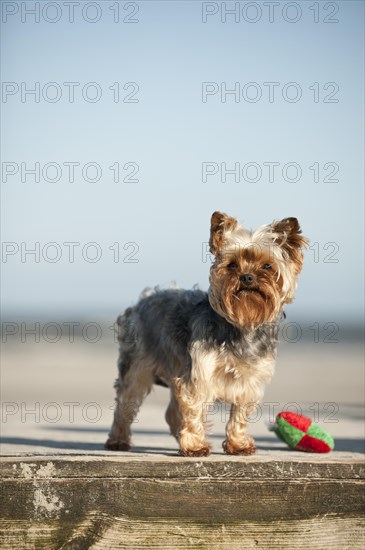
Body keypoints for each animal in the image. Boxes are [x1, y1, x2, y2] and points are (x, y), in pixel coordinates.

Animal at [105, 211, 308, 458]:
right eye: (232, 265)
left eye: (267, 266)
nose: (247, 277)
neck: (241, 325)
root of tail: (143, 299)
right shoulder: (199, 373)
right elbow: (193, 409)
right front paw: (194, 446)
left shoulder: (250, 379)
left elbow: (240, 415)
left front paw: (238, 444)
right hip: (138, 363)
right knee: (126, 401)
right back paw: (118, 440)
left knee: (171, 412)